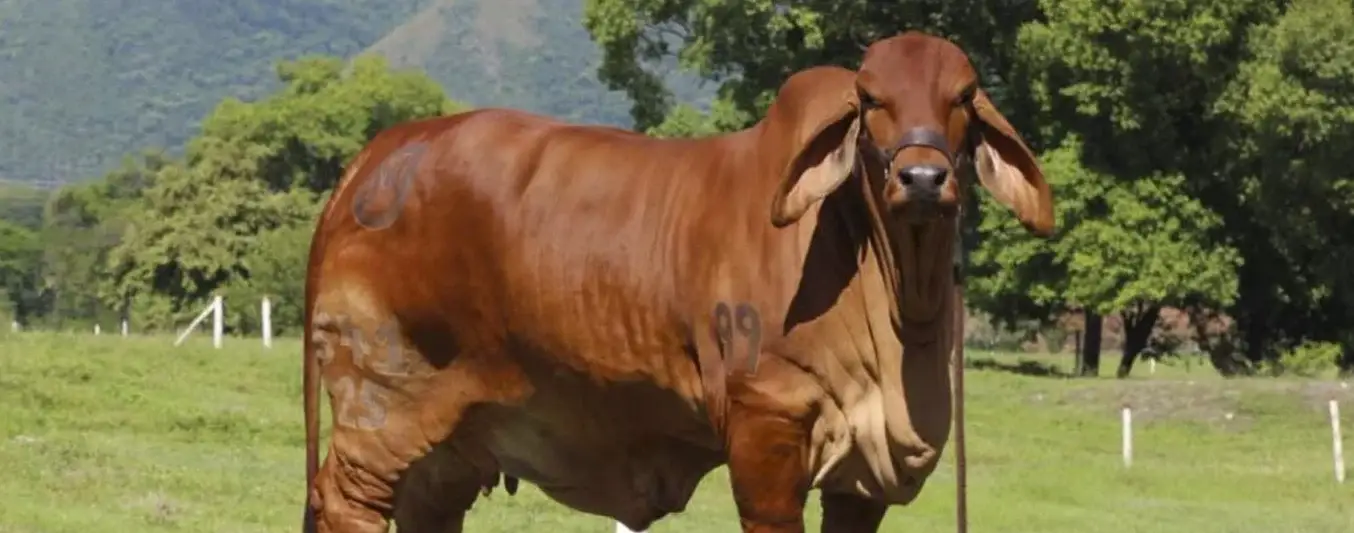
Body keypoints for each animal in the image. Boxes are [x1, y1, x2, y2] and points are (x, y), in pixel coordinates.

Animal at [300, 30, 1054, 533]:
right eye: (870, 98)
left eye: (964, 96)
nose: (923, 178)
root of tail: (375, 156)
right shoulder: (767, 429)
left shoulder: (861, 479)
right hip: (380, 400)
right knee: (344, 500)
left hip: (452, 442)